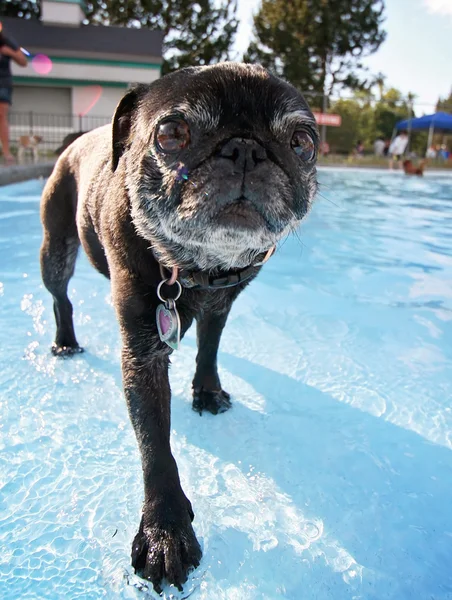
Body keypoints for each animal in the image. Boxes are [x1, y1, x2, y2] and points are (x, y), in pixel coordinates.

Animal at [40, 62, 320, 592]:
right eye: (171, 133)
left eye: (302, 142)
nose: (246, 148)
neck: (195, 267)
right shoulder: (143, 352)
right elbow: (155, 445)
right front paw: (164, 531)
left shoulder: (222, 305)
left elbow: (209, 349)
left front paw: (207, 391)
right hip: (56, 248)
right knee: (61, 296)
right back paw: (65, 341)